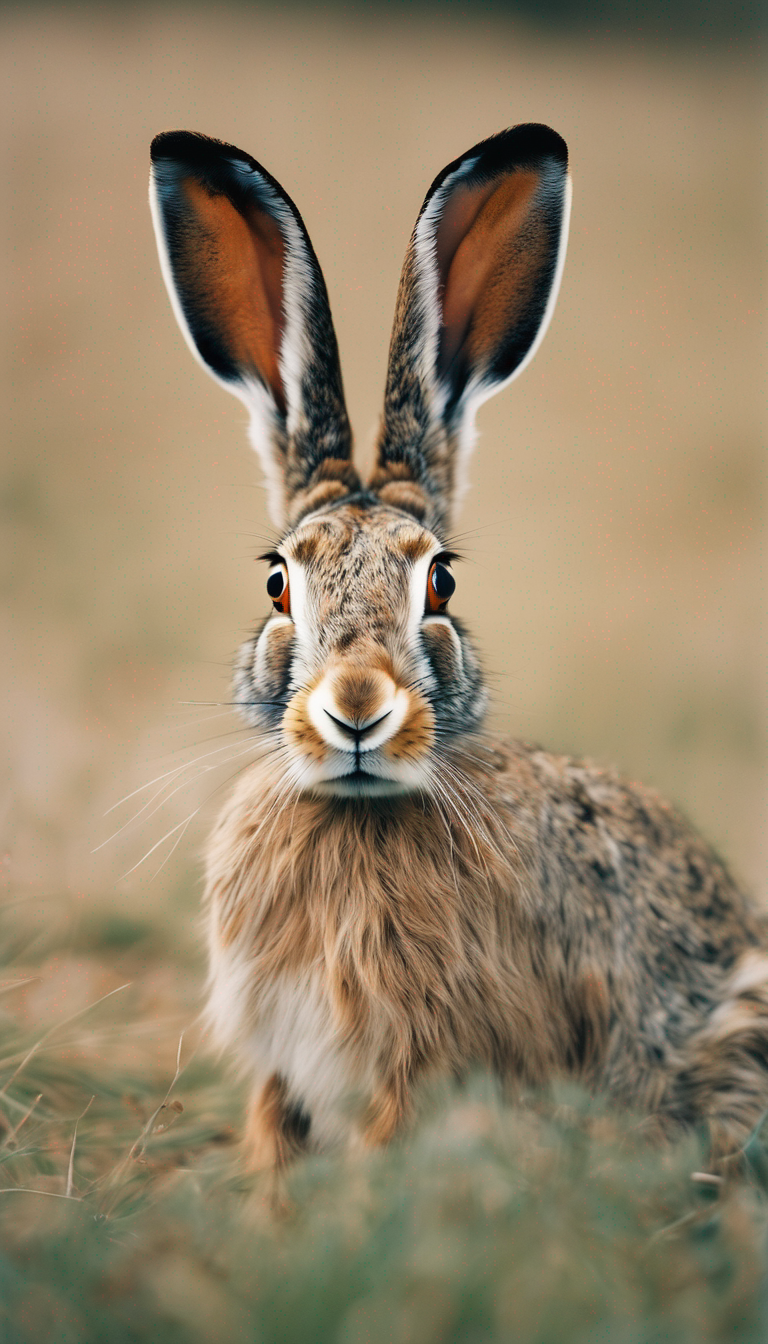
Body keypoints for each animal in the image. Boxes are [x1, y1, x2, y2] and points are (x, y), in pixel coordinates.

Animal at [149, 125, 768, 1171]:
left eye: (441, 582)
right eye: (278, 581)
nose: (358, 708)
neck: (355, 813)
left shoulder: (425, 1066)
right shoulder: (284, 1066)